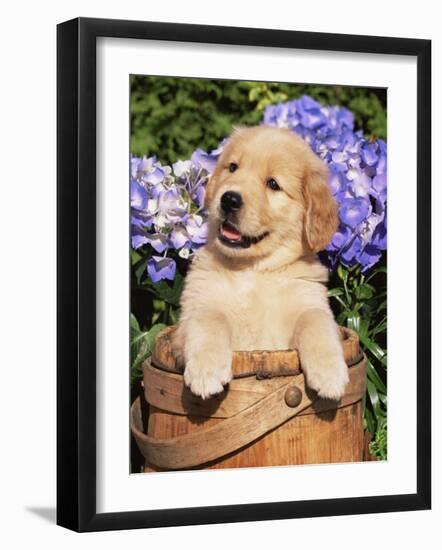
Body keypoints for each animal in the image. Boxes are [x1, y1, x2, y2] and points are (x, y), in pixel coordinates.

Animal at [173, 125, 348, 402]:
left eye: (273, 184)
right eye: (232, 167)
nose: (229, 199)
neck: (253, 271)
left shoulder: (309, 302)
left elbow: (317, 323)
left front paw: (330, 373)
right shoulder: (194, 310)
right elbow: (209, 319)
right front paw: (206, 371)